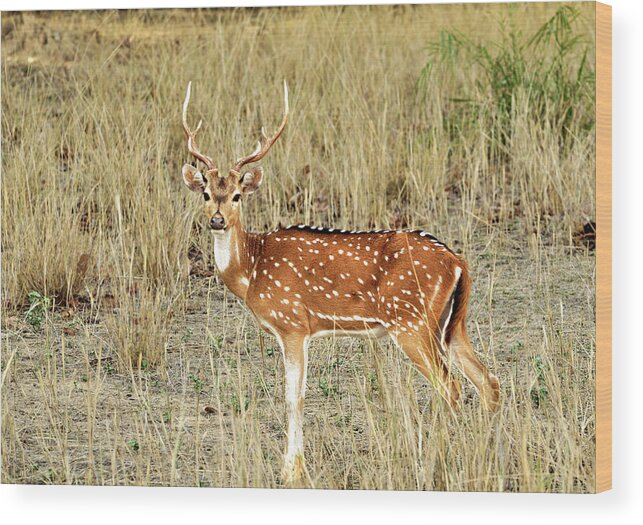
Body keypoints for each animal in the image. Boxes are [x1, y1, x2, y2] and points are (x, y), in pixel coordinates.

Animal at [179, 81, 500, 478]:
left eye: (237, 195)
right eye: (207, 194)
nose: (217, 220)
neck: (251, 271)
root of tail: (458, 262)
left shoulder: (292, 324)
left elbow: (294, 397)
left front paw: (291, 470)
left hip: (411, 321)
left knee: (451, 386)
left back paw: (436, 459)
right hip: (451, 324)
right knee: (488, 381)